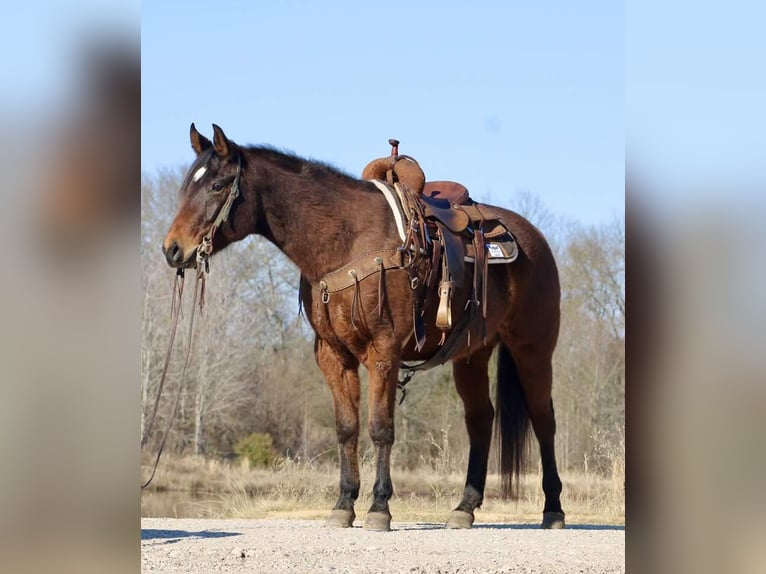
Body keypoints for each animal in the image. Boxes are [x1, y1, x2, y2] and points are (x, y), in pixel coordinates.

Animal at [162, 125, 568, 532]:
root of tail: (535, 239)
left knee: (544, 420)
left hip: (533, 351)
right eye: (187, 186)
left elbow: (380, 428)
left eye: (217, 185)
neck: (347, 241)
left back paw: (553, 509)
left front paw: (379, 507)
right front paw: (343, 504)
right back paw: (464, 508)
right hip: (471, 356)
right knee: (481, 419)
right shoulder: (333, 355)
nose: (172, 249)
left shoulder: (383, 352)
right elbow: (347, 428)